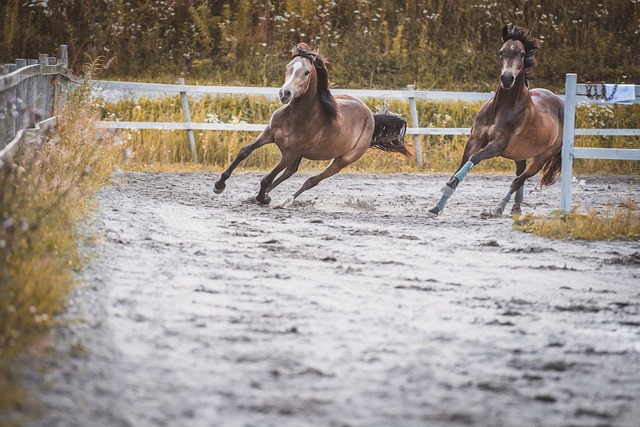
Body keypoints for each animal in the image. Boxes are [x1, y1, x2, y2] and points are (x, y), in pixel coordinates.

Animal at [212, 43, 408, 207]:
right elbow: (244, 152)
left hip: (342, 161)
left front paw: (262, 198)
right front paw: (219, 185)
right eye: (288, 68)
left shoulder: (291, 152)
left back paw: (284, 201)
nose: (285, 93)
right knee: (290, 172)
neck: (296, 117)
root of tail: (371, 117)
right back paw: (259, 196)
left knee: (312, 180)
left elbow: (267, 178)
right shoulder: (269, 134)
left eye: (306, 72)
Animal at [428, 26, 564, 217]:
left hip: (542, 157)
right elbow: (462, 164)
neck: (501, 108)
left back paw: (498, 208)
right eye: (501, 52)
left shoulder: (498, 144)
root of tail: (561, 103)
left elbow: (475, 158)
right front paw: (438, 205)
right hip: (519, 154)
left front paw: (448, 187)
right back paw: (516, 207)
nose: (507, 79)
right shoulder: (475, 139)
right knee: (519, 176)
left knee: (518, 180)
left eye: (522, 53)